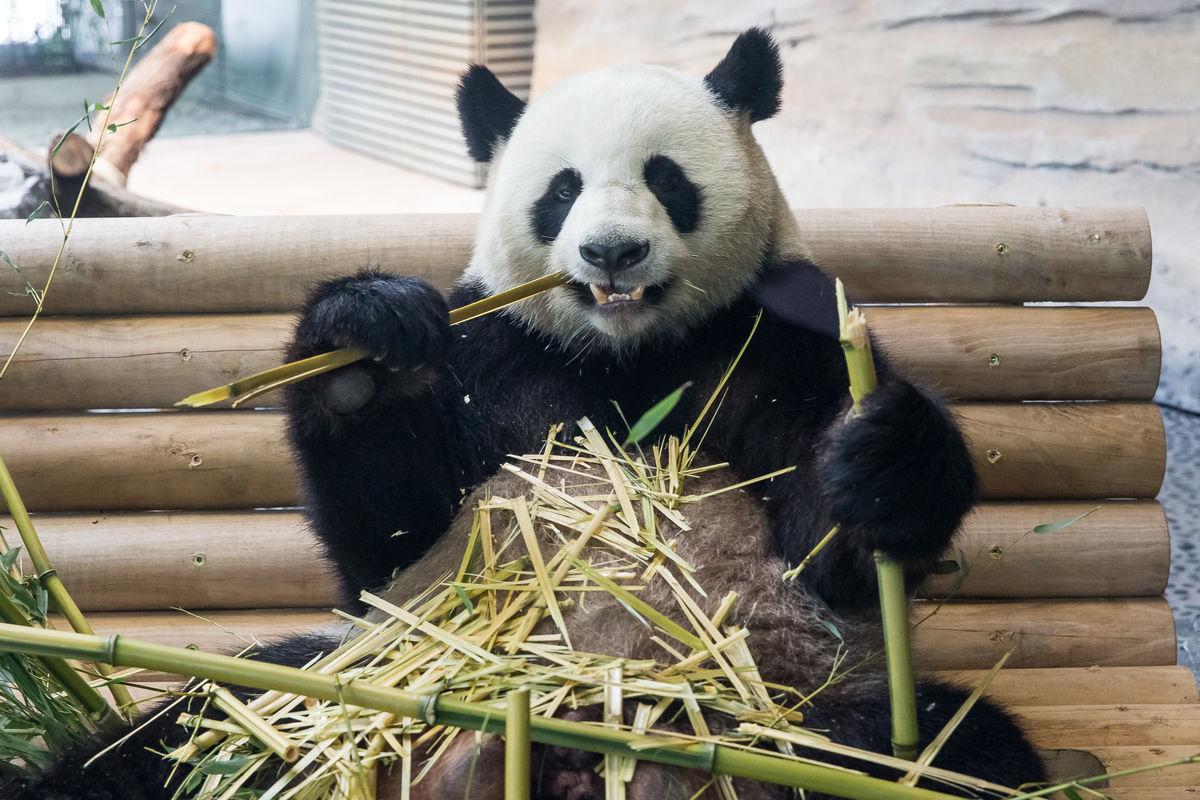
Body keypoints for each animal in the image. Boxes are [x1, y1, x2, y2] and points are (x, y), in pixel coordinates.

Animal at [14, 26, 1051, 800]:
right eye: (562, 189)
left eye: (666, 177)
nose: (611, 251)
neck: (628, 355)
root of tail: (560, 740)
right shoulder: (493, 352)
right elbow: (388, 543)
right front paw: (366, 356)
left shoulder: (778, 333)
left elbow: (824, 549)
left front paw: (882, 458)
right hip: (327, 692)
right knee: (175, 739)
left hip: (787, 711)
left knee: (955, 754)